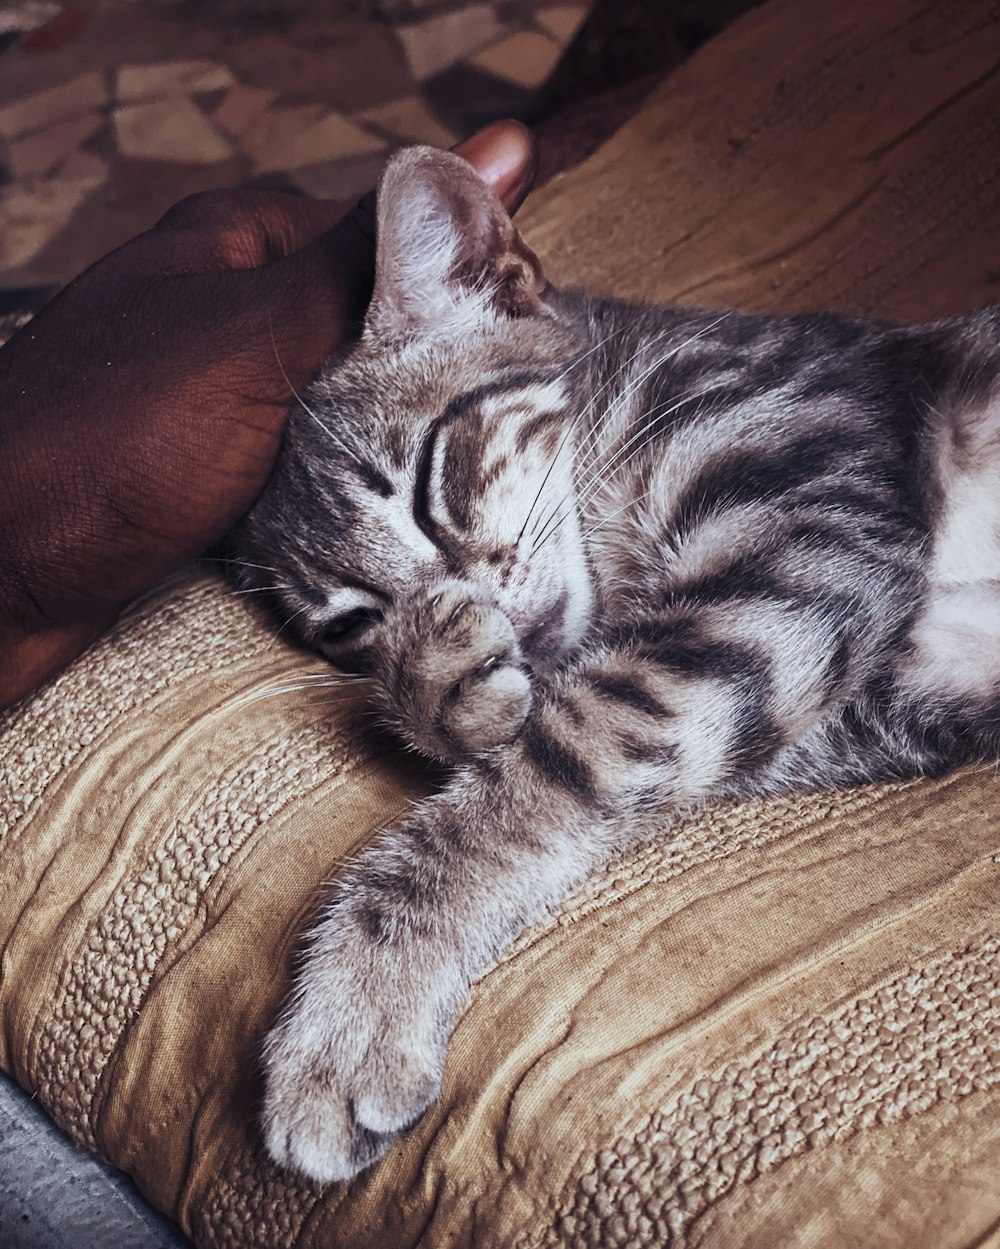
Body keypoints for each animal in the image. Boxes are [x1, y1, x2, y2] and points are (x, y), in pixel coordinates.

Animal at [232, 143, 998, 1179]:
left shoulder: (801, 543)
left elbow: (537, 771)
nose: (478, 611)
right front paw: (433, 681)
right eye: (351, 623)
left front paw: (350, 1015)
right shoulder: (877, 676)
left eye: (434, 478)